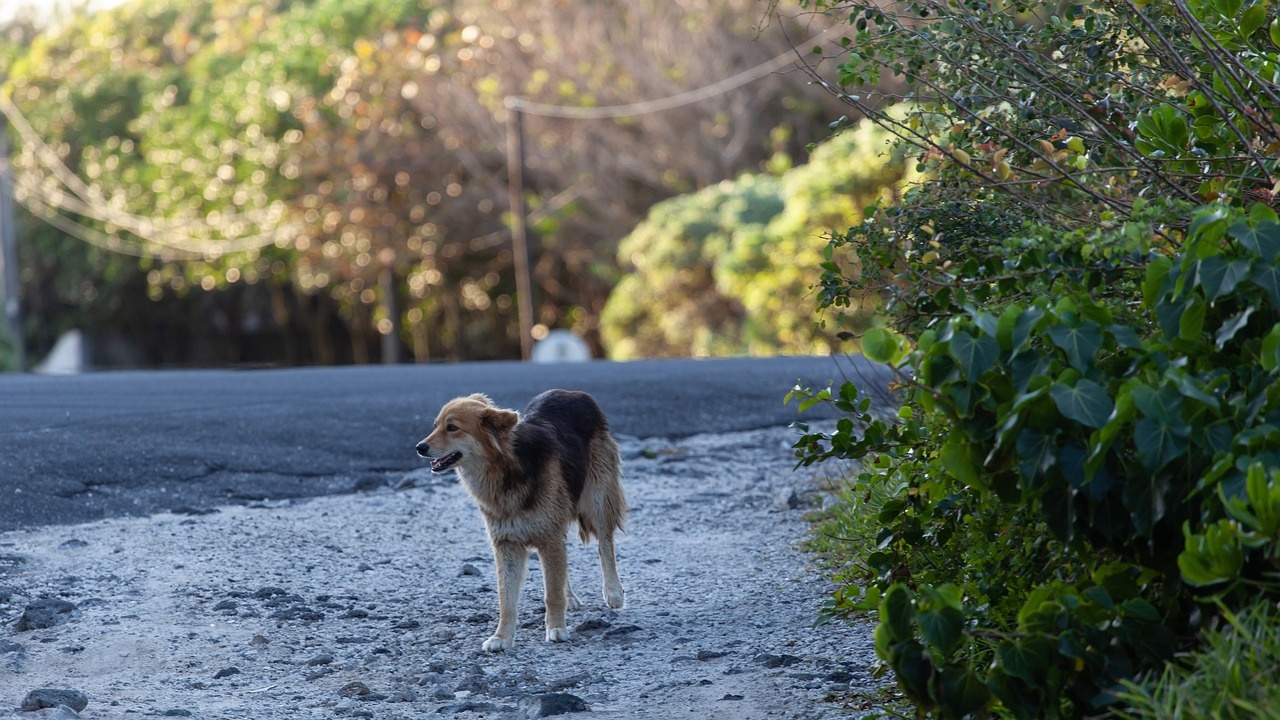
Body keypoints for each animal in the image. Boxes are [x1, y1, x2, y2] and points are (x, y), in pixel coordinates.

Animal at [414, 389, 624, 648]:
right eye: (435, 426)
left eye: (452, 427)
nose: (419, 447)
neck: (505, 469)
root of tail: (572, 392)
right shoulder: (507, 543)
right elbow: (506, 599)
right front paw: (501, 637)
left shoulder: (549, 537)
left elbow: (551, 592)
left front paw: (556, 628)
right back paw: (571, 597)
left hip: (597, 498)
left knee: (605, 544)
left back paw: (613, 591)